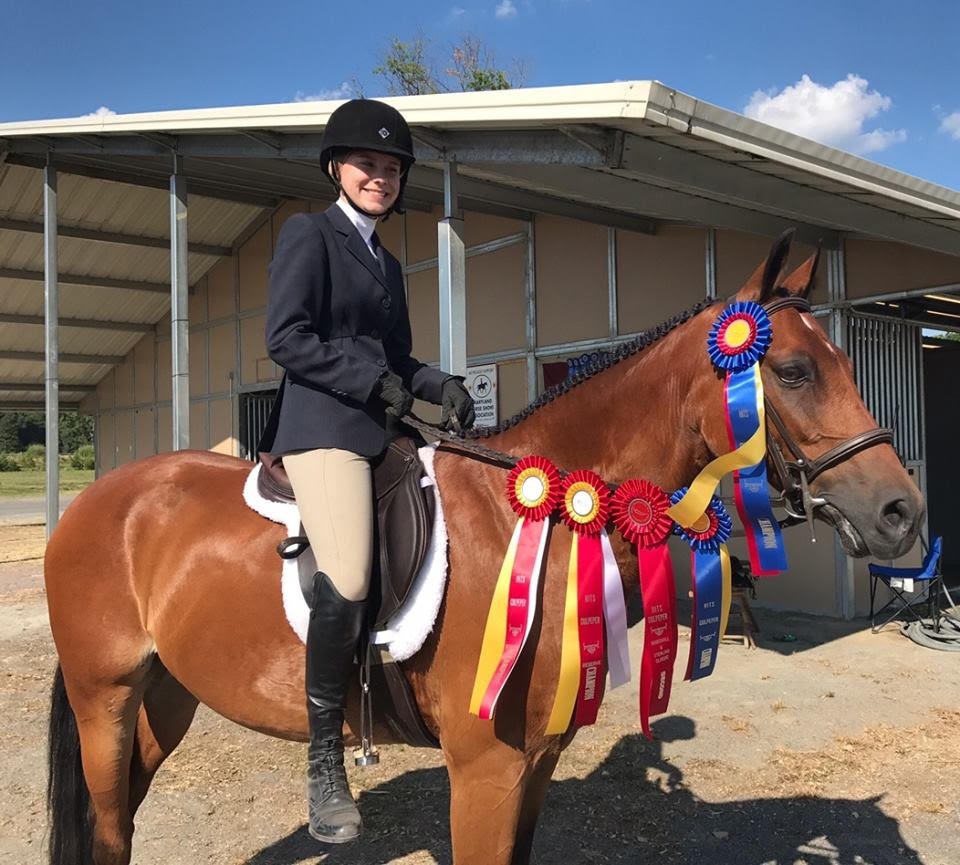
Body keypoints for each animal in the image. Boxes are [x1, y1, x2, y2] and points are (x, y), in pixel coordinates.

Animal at [44, 231, 923, 865]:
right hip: (104, 696)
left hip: (166, 694)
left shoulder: (534, 762)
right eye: (795, 370)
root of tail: (96, 499)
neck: (528, 519)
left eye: (843, 361)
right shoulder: (484, 770)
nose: (903, 513)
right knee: (112, 829)